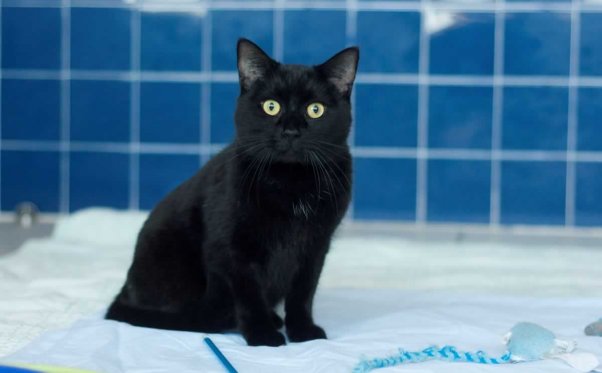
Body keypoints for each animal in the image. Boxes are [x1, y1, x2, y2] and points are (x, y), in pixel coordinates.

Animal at [104, 38, 356, 346]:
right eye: (271, 106)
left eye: (315, 110)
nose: (290, 131)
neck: (290, 182)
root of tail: (124, 292)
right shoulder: (232, 247)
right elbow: (248, 294)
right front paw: (262, 335)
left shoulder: (316, 246)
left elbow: (303, 293)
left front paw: (304, 332)